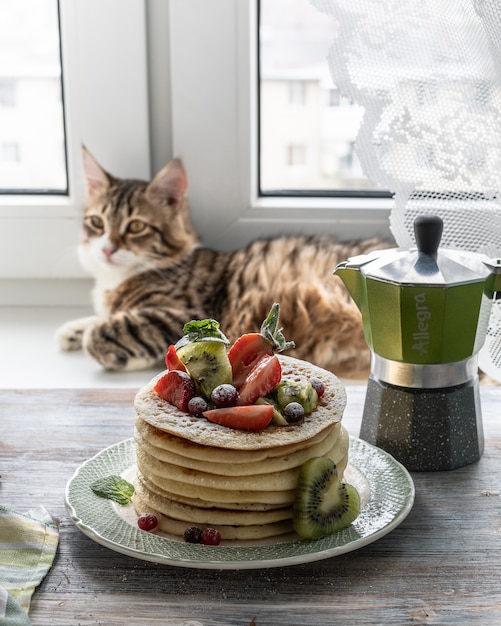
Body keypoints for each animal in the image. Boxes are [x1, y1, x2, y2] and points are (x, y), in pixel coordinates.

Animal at [57, 148, 386, 378]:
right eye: (96, 223)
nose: (107, 249)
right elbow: (99, 318)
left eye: (136, 227)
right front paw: (71, 330)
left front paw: (113, 352)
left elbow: (104, 331)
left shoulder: (186, 315)